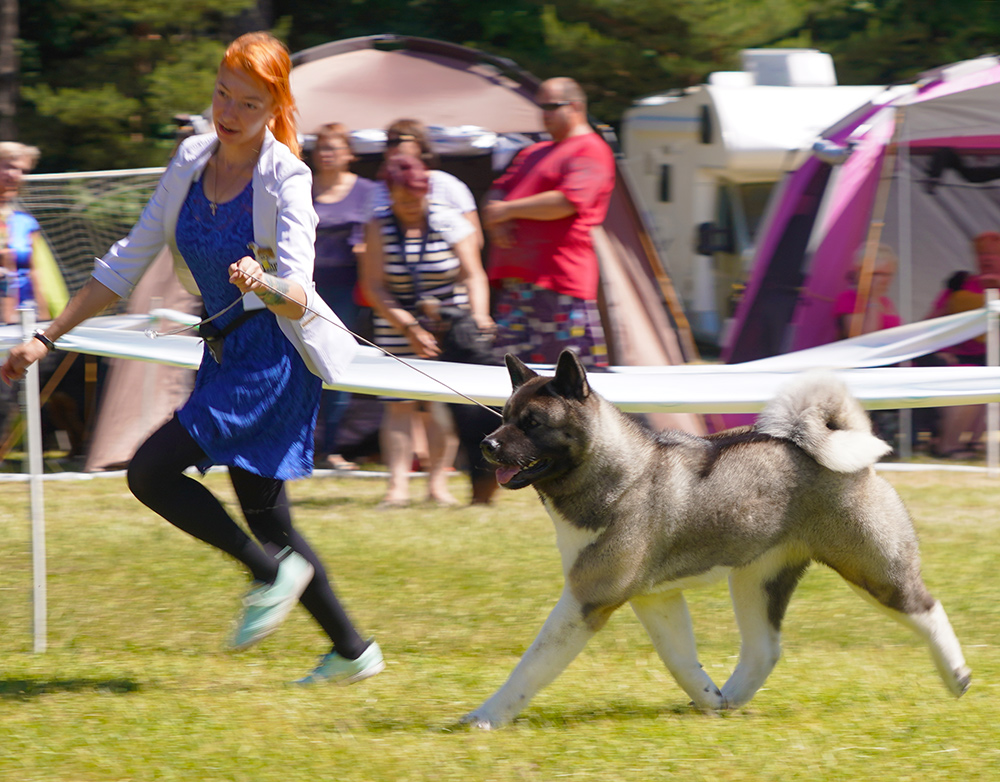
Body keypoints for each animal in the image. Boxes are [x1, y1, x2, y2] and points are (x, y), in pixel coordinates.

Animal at [460, 352, 968, 732]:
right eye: (505, 416)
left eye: (532, 422)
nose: (487, 444)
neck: (621, 475)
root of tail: (837, 453)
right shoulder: (656, 599)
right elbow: (679, 659)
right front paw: (708, 699)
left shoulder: (587, 600)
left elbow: (531, 666)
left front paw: (485, 717)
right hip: (756, 579)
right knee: (764, 650)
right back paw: (732, 700)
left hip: (873, 569)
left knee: (928, 608)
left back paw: (957, 676)